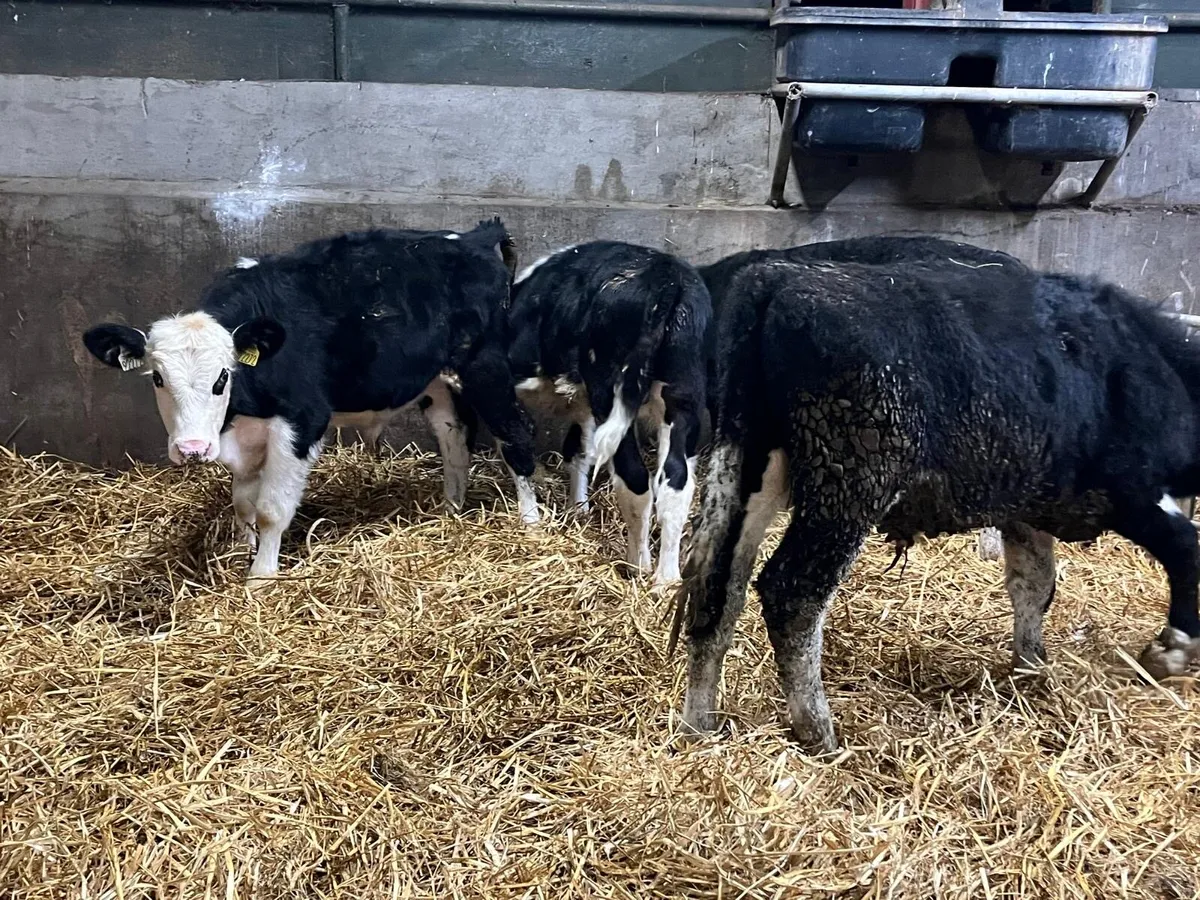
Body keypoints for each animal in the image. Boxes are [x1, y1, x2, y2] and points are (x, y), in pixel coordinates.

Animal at [82, 218, 539, 585]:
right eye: (158, 378)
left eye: (222, 377)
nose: (193, 448)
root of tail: (474, 236)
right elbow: (242, 502)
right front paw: (240, 550)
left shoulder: (302, 421)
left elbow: (270, 508)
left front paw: (260, 577)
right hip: (439, 380)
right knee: (454, 439)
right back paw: (449, 512)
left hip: (485, 366)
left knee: (515, 437)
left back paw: (530, 522)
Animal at [507, 242, 711, 586]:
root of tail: (667, 278)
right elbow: (578, 449)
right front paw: (578, 509)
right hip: (684, 395)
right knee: (676, 482)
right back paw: (666, 579)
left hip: (611, 391)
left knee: (636, 480)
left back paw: (638, 566)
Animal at [675, 243, 1200, 752]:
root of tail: (777, 278)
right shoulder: (1131, 490)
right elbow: (1186, 549)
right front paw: (1171, 651)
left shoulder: (1028, 505)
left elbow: (1034, 583)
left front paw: (1032, 667)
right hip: (849, 484)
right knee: (792, 593)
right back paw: (819, 733)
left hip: (750, 464)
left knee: (719, 588)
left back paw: (700, 724)